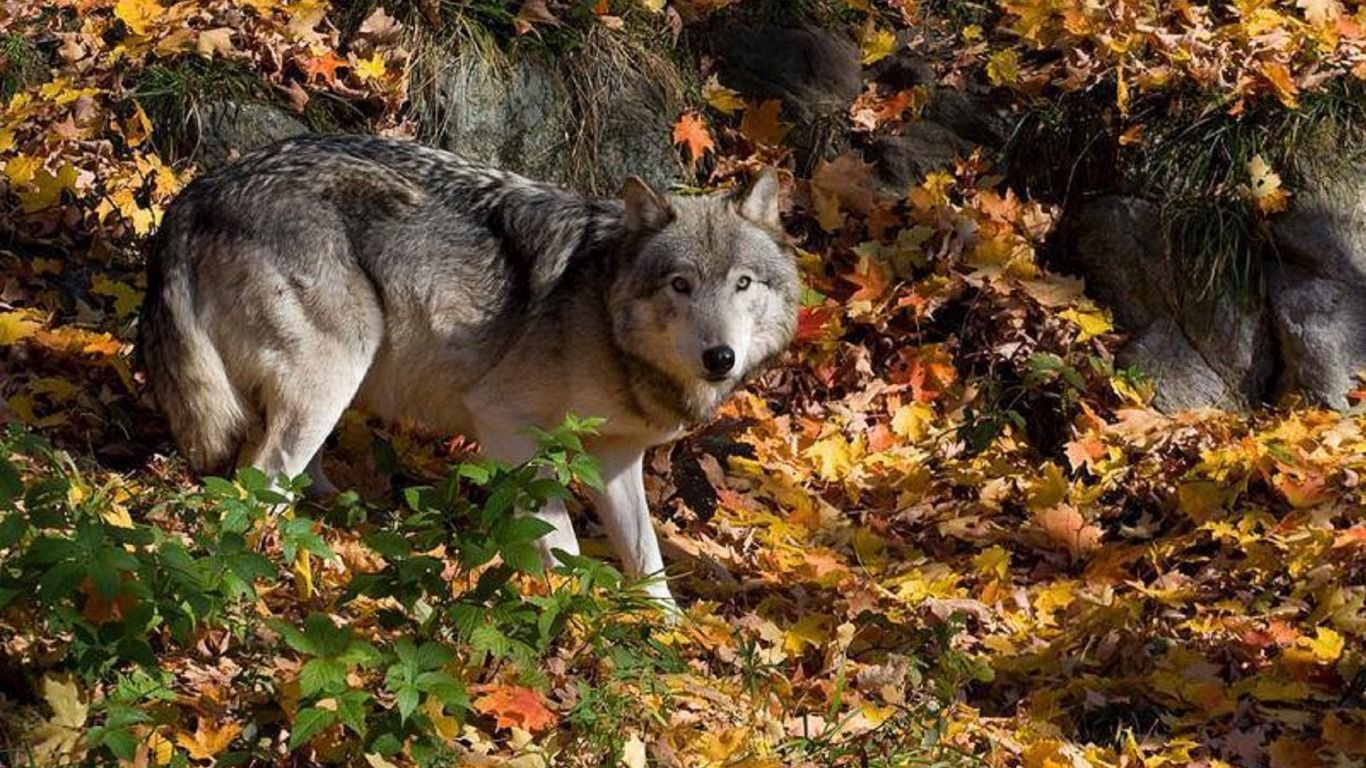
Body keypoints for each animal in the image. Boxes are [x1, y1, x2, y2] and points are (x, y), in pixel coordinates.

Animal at [138, 134, 800, 608]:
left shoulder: (615, 460)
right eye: (680, 285)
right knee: (259, 482)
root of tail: (199, 191)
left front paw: (664, 637)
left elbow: (649, 562)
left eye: (743, 284)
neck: (603, 315)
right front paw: (569, 610)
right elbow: (560, 538)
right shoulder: (505, 425)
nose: (721, 358)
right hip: (337, 370)